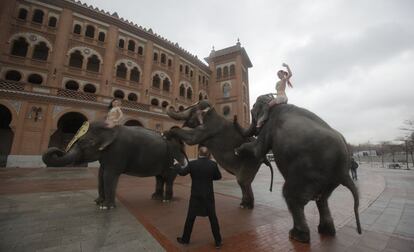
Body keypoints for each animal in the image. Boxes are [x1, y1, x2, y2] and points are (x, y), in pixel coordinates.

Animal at [42, 121, 188, 209]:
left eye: (85, 143)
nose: (59, 151)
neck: (109, 129)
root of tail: (181, 147)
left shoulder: (118, 151)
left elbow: (109, 175)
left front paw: (106, 207)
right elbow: (100, 175)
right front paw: (98, 203)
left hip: (171, 160)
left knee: (168, 179)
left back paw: (166, 200)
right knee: (159, 178)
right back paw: (155, 198)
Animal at [233, 94, 362, 242]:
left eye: (252, 110)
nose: (234, 116)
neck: (274, 102)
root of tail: (343, 170)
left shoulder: (268, 127)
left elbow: (257, 150)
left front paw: (237, 151)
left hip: (307, 174)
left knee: (292, 196)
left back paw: (297, 235)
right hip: (330, 181)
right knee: (323, 200)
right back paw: (326, 231)